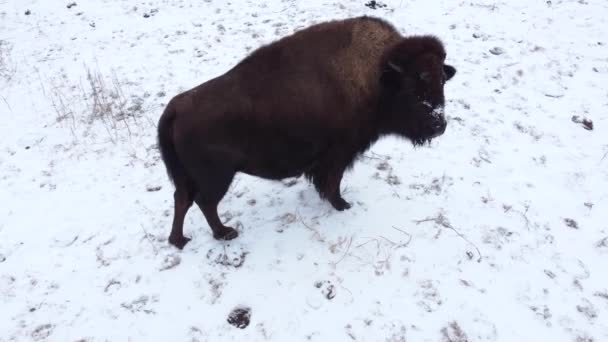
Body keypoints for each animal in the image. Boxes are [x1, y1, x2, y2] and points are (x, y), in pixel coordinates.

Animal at [157, 16, 456, 247]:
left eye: (442, 79)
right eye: (412, 85)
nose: (439, 125)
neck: (377, 77)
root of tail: (177, 107)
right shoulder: (338, 154)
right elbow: (332, 182)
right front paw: (342, 205)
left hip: (188, 176)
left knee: (182, 200)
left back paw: (179, 241)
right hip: (217, 177)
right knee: (204, 203)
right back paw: (225, 233)